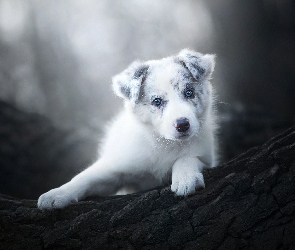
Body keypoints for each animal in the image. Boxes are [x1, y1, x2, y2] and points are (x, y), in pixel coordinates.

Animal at [37, 48, 217, 209]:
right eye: (157, 101)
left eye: (189, 92)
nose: (182, 124)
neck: (163, 144)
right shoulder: (116, 166)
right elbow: (85, 177)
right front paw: (57, 194)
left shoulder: (207, 158)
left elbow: (186, 158)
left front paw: (186, 178)